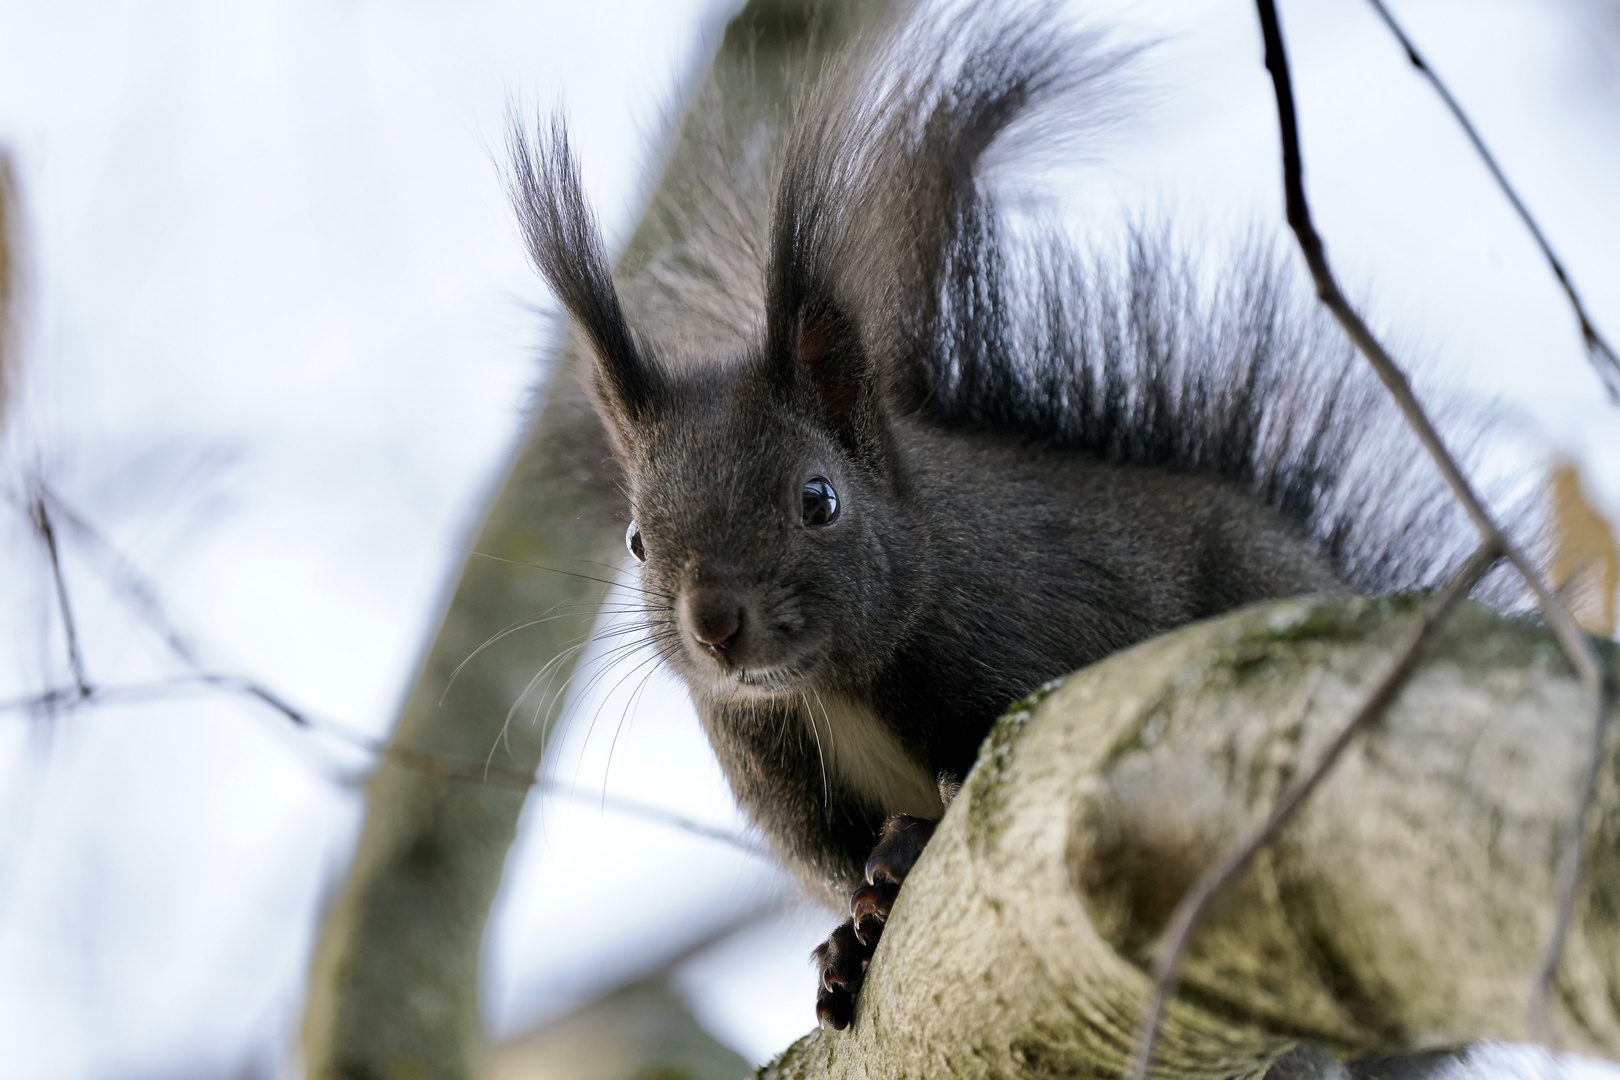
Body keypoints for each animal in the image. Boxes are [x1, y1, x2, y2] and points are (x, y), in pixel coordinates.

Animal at [508, 4, 1516, 1042]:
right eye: (636, 538)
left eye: (818, 499)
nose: (714, 624)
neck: (834, 685)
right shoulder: (773, 764)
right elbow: (828, 864)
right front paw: (844, 945)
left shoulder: (1026, 628)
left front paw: (906, 853)